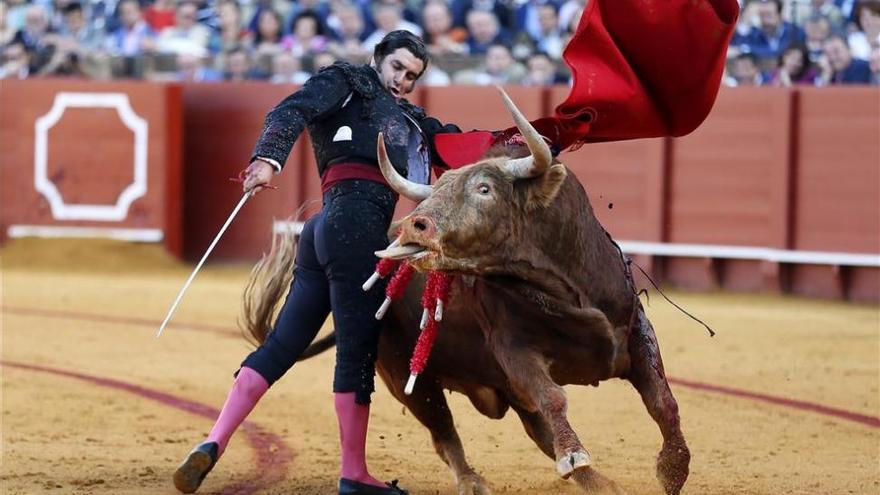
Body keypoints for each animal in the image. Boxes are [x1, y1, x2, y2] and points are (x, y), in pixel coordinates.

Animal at [244, 89, 692, 495]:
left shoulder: (634, 328)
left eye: (484, 188)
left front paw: (673, 469)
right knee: (442, 428)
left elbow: (663, 401)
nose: (415, 225)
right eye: (441, 187)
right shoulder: (513, 348)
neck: (561, 286)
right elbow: (553, 397)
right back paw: (474, 481)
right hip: (405, 374)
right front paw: (577, 455)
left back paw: (602, 484)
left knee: (534, 429)